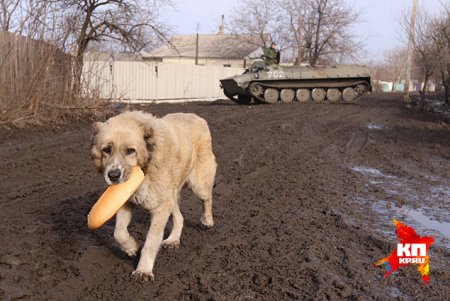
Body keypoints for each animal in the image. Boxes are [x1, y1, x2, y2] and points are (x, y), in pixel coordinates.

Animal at [90, 110, 217, 282]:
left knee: (207, 199)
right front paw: (132, 248)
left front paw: (143, 270)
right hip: (170, 195)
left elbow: (151, 241)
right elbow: (119, 233)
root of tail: (196, 116)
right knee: (180, 217)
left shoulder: (160, 208)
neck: (146, 167)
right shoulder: (126, 202)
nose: (113, 176)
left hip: (198, 185)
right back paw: (173, 240)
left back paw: (207, 221)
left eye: (130, 150)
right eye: (107, 149)